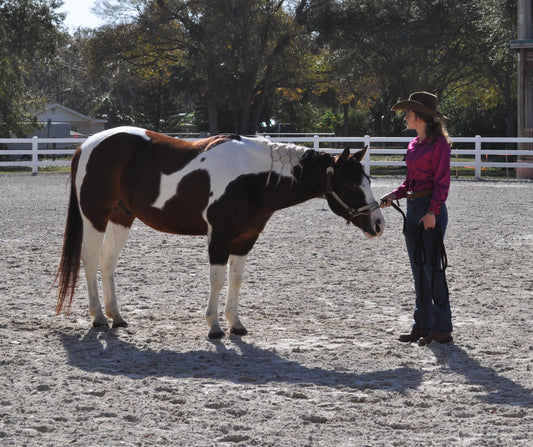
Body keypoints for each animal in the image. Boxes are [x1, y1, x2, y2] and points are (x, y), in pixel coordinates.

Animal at [55, 127, 382, 340]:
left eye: (367, 179)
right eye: (351, 184)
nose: (379, 224)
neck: (254, 177)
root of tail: (86, 146)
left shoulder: (246, 238)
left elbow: (236, 279)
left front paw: (235, 323)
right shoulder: (220, 234)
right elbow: (217, 278)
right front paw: (214, 327)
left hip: (122, 217)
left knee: (107, 261)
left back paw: (117, 317)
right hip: (95, 216)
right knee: (90, 259)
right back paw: (98, 317)